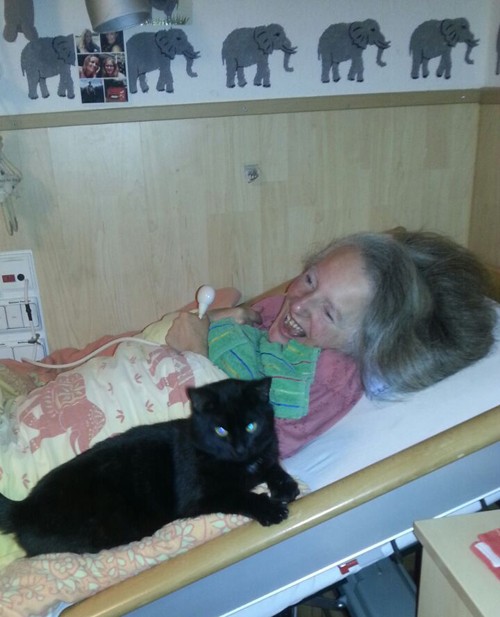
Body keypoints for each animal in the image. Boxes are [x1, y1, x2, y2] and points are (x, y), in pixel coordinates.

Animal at [0, 377, 299, 556]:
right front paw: (270, 508)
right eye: (221, 430)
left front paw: (286, 486)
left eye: (251, 426)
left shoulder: (264, 452)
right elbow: (240, 495)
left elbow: (271, 465)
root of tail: (23, 507)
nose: (240, 449)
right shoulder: (197, 496)